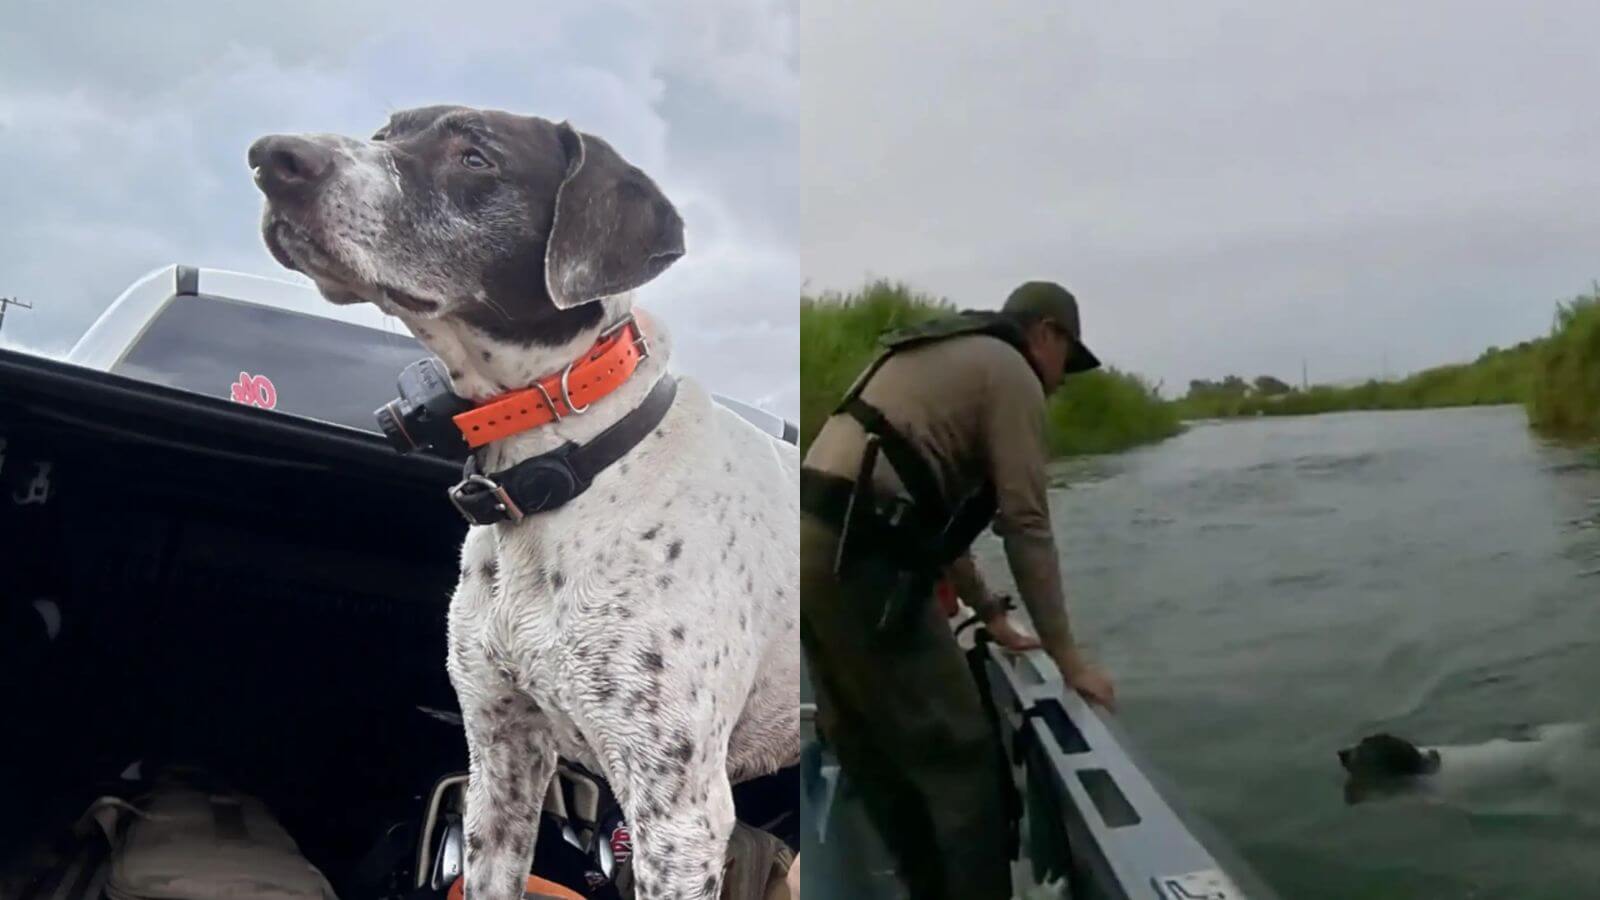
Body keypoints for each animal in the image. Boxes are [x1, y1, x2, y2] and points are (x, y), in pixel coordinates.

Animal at [246, 106, 796, 896]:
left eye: (477, 157)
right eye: (384, 132)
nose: (272, 157)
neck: (565, 474)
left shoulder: (677, 815)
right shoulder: (500, 755)